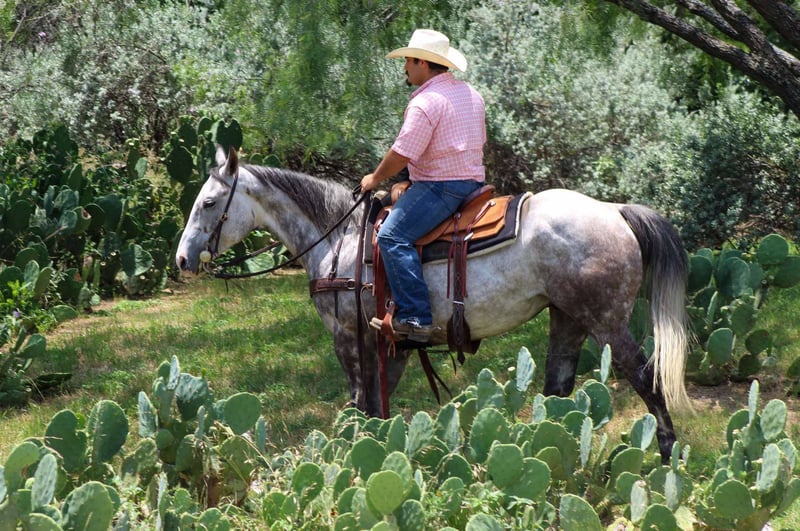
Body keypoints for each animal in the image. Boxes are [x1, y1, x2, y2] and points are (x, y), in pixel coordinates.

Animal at [175, 147, 691, 462]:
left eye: (209, 202)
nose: (182, 258)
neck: (340, 239)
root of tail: (613, 210)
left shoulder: (349, 338)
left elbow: (358, 404)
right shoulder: (391, 344)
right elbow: (377, 407)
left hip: (607, 321)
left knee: (647, 379)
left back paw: (668, 455)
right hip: (567, 318)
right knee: (559, 388)